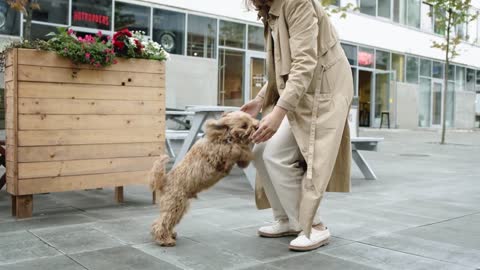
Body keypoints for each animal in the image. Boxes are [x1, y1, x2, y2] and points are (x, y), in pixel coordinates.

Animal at [149, 110, 258, 246]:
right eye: (244, 125)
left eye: (251, 119)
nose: (257, 126)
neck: (222, 137)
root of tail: (165, 180)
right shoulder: (219, 152)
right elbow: (236, 148)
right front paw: (247, 151)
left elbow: (240, 152)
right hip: (175, 204)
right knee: (162, 222)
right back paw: (165, 240)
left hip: (180, 206)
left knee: (162, 222)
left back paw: (170, 235)